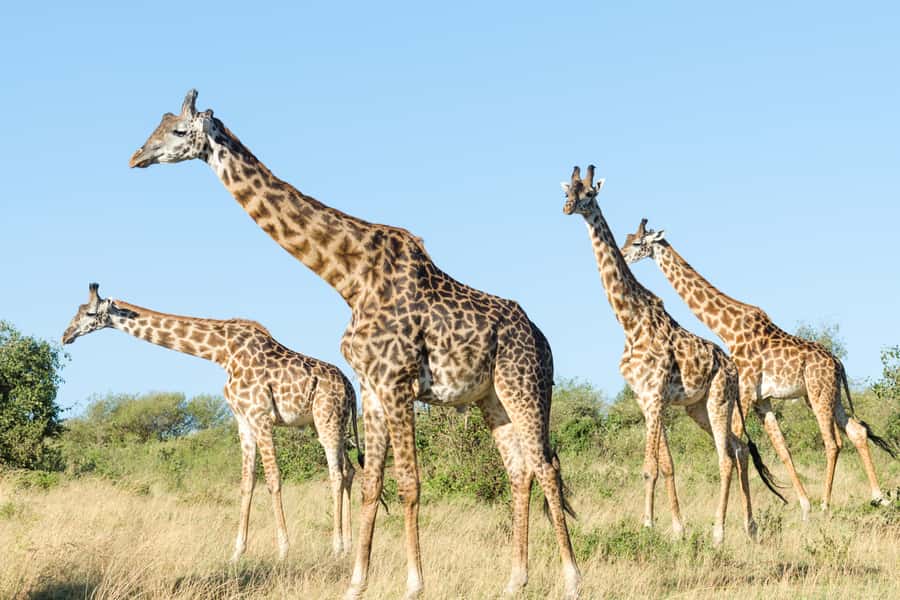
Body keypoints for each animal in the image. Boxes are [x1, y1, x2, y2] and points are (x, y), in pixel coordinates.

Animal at [61, 283, 361, 559]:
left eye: (89, 312)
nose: (66, 335)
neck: (222, 353)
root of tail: (350, 388)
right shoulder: (243, 420)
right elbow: (246, 483)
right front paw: (237, 553)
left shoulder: (261, 416)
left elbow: (274, 479)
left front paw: (284, 550)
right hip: (330, 422)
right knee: (349, 470)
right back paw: (349, 546)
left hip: (326, 419)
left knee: (336, 474)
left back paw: (336, 547)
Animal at [128, 90, 580, 600]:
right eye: (155, 127)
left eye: (177, 131)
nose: (136, 157)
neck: (349, 278)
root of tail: (543, 341)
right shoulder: (372, 387)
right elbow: (370, 484)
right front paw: (356, 582)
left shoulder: (398, 381)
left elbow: (408, 482)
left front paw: (413, 583)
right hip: (492, 399)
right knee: (520, 470)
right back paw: (515, 580)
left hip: (525, 387)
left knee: (546, 466)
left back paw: (571, 579)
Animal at [561, 166, 786, 545]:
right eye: (568, 190)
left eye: (589, 194)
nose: (567, 207)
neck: (630, 321)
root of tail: (731, 366)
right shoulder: (645, 399)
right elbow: (666, 465)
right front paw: (678, 528)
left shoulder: (654, 396)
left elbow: (649, 467)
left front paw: (648, 526)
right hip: (698, 408)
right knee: (740, 448)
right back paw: (749, 527)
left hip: (719, 400)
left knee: (726, 457)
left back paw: (719, 532)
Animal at [622, 218, 898, 513]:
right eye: (627, 238)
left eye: (637, 242)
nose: (623, 254)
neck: (726, 329)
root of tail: (838, 363)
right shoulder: (761, 400)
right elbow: (782, 449)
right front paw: (803, 505)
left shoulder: (742, 392)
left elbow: (736, 446)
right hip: (826, 395)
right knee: (857, 431)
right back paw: (878, 496)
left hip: (817, 394)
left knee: (832, 442)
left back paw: (826, 503)